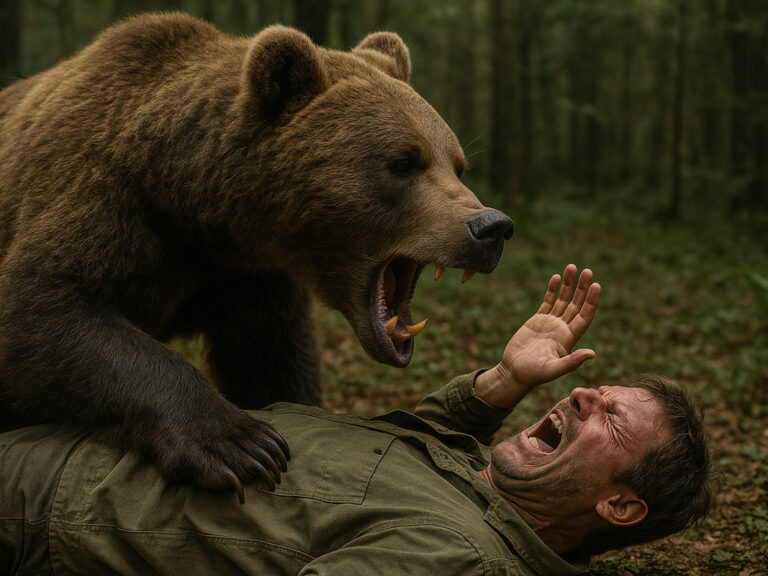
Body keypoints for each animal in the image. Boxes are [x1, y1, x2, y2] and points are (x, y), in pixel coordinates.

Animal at [0, 12, 513, 500]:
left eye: (457, 164)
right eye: (404, 162)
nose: (491, 227)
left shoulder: (250, 280)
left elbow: (271, 367)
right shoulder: (112, 200)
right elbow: (42, 307)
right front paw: (241, 445)